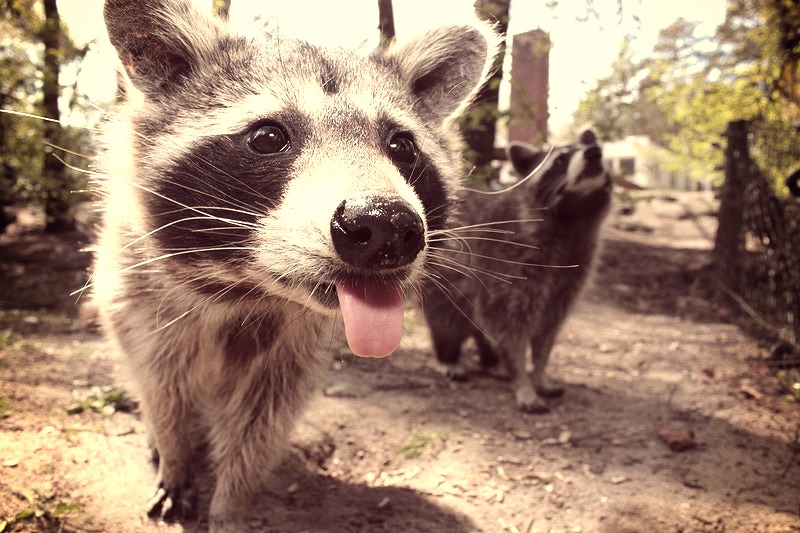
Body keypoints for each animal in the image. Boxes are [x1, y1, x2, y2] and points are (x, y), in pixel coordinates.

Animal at [93, 0, 498, 528]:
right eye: (268, 137)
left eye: (402, 146)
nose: (385, 226)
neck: (249, 287)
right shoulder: (142, 298)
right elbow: (163, 387)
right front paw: (175, 456)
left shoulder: (295, 349)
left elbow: (262, 423)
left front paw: (231, 502)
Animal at [422, 130, 612, 413]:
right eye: (560, 160)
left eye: (596, 148)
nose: (594, 153)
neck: (572, 217)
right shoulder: (508, 262)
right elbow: (510, 328)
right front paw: (522, 378)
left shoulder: (571, 273)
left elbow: (547, 331)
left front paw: (540, 372)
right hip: (444, 283)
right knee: (446, 322)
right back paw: (449, 357)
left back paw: (490, 361)